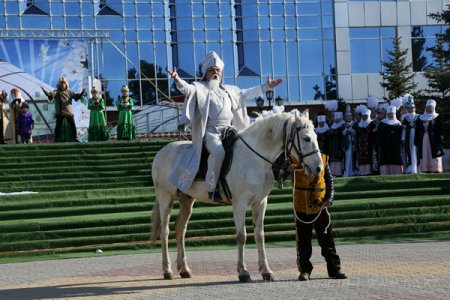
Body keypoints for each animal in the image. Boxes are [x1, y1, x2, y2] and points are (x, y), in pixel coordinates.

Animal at [151, 111, 324, 282]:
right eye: (306, 138)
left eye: (316, 137)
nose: (318, 167)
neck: (254, 158)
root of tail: (161, 152)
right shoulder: (239, 203)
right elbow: (242, 236)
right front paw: (243, 271)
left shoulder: (260, 202)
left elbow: (260, 235)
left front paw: (266, 270)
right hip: (165, 198)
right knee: (165, 232)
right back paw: (167, 270)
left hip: (186, 200)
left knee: (180, 229)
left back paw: (184, 269)